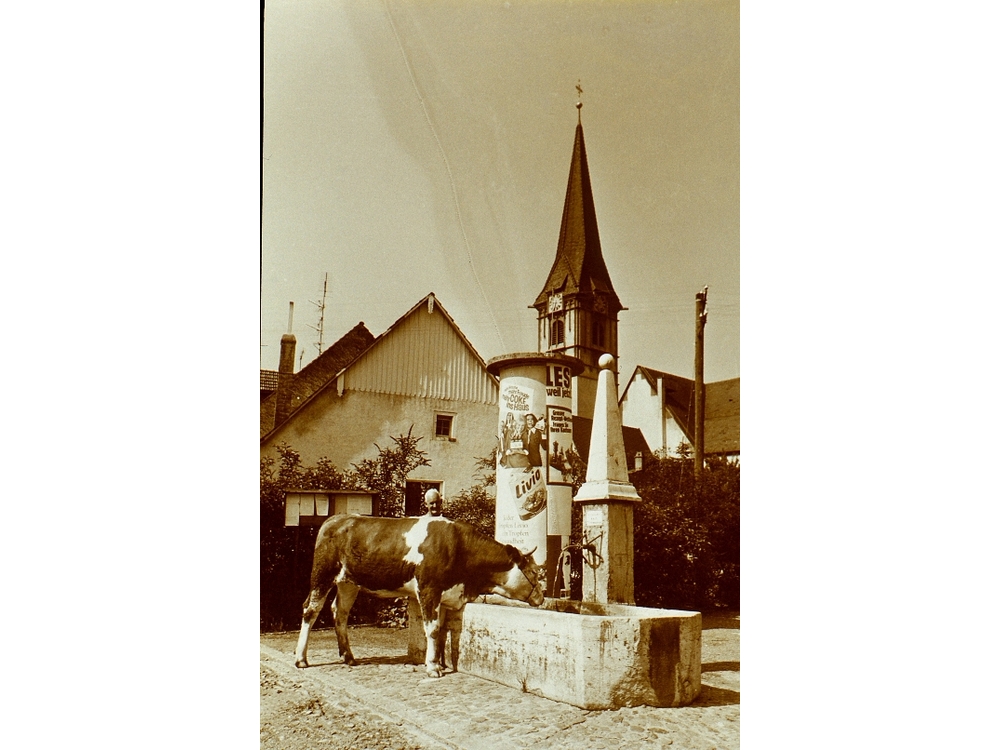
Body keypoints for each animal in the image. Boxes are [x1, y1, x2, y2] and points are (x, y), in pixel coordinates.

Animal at [292, 516, 544, 680]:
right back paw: (301, 659)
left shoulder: (445, 596)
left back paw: (348, 656)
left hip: (348, 583)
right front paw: (433, 668)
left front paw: (436, 661)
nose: (541, 597)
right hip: (322, 574)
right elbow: (431, 629)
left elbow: (440, 630)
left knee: (340, 613)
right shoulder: (429, 590)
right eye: (533, 572)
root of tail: (336, 519)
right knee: (310, 610)